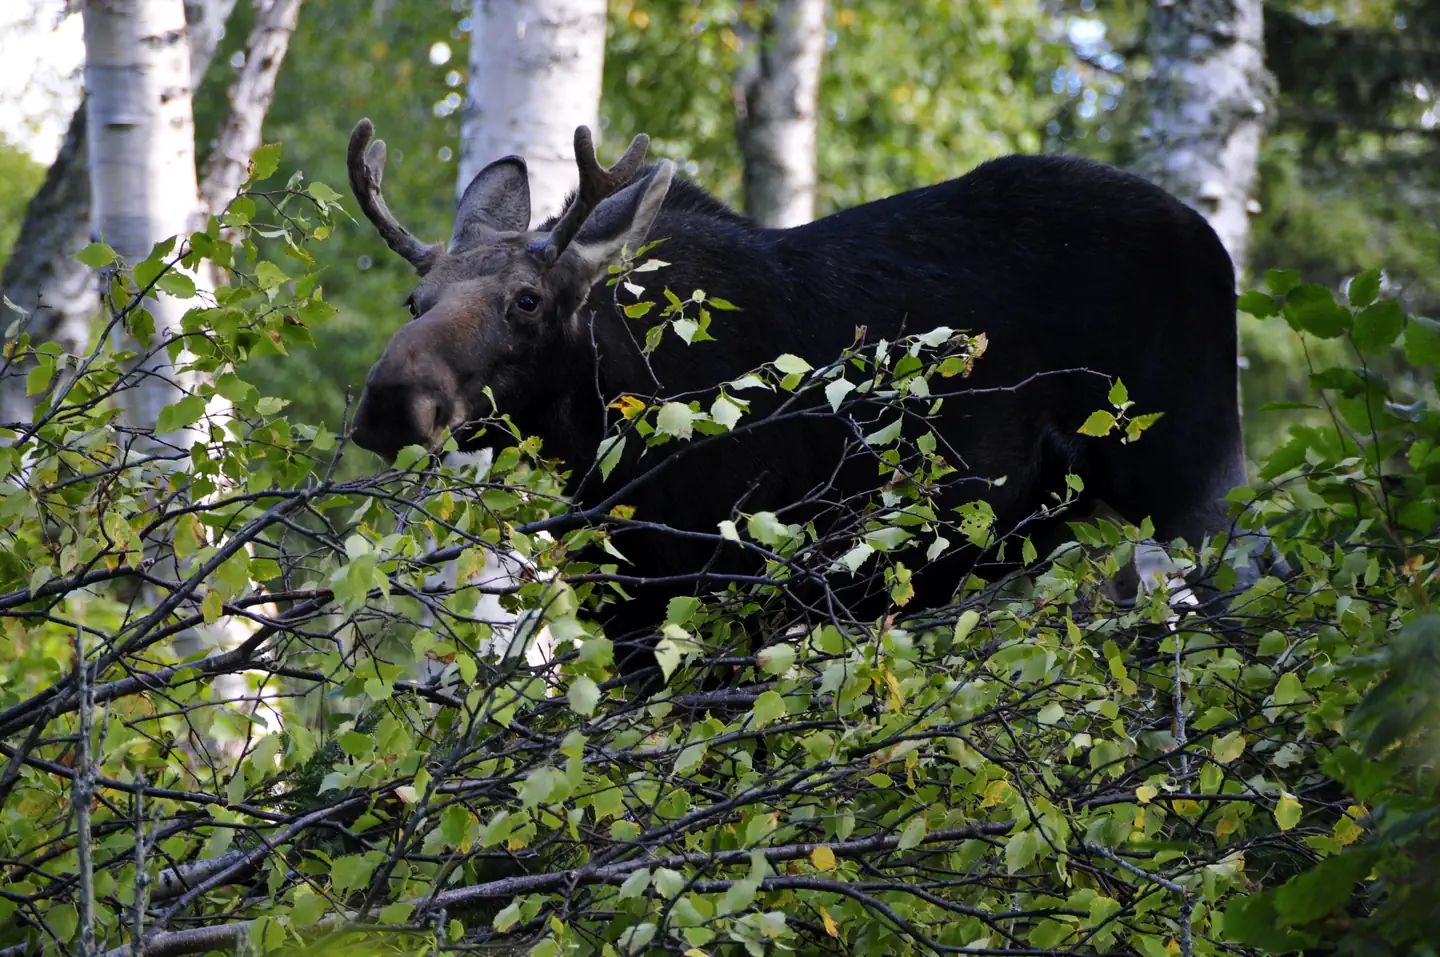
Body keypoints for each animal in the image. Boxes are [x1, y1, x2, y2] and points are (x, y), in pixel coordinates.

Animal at [344, 118, 1271, 678]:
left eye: (528, 301)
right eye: (415, 301)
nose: (392, 400)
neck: (595, 447)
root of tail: (1216, 245)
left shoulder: (716, 586)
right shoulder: (632, 609)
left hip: (1193, 474)